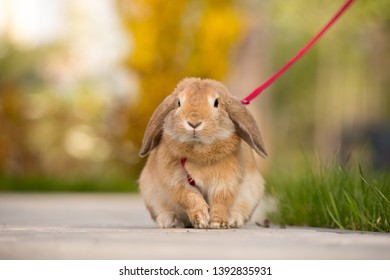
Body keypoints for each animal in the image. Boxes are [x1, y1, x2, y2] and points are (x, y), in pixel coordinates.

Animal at [139, 77, 268, 229]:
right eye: (179, 103)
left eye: (216, 103)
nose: (194, 122)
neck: (199, 153)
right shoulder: (176, 181)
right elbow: (189, 196)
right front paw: (201, 218)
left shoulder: (225, 181)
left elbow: (220, 200)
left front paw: (217, 222)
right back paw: (170, 221)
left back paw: (233, 220)